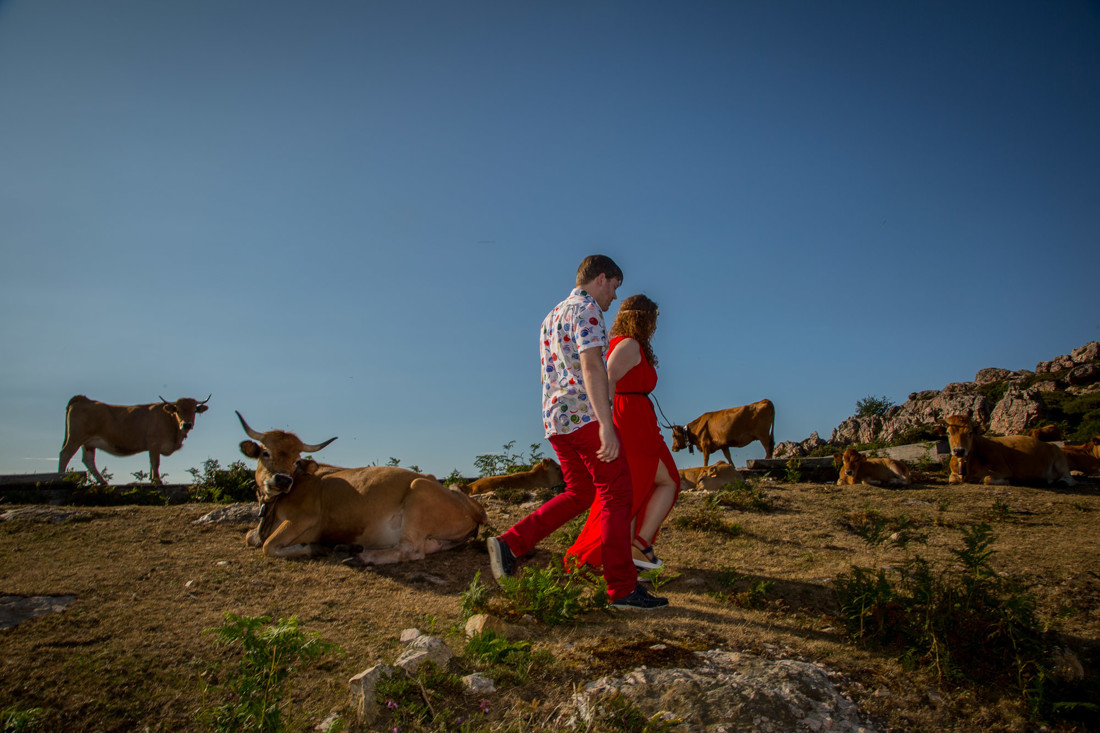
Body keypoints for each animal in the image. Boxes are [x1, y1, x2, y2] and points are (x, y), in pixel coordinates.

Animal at [59, 391, 210, 482]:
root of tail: (84, 399)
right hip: (75, 438)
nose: (187, 424)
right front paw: (157, 481)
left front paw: (152, 480)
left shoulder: (152, 447)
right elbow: (155, 463)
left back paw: (103, 483)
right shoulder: (154, 444)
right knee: (65, 454)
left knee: (88, 461)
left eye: (194, 410)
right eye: (178, 410)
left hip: (88, 443)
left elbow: (152, 464)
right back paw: (60, 476)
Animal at [236, 413, 486, 561]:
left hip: (419, 492)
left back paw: (360, 555)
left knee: (410, 550)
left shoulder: (304, 519)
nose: (282, 480)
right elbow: (251, 537)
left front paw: (314, 547)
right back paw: (348, 549)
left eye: (297, 460)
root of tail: (472, 511)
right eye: (265, 452)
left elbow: (268, 545)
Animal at [941, 411, 1069, 484]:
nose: (959, 450)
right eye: (948, 433)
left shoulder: (1003, 468)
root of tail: (1050, 444)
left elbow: (986, 479)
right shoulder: (954, 474)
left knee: (1069, 477)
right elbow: (952, 479)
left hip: (1060, 461)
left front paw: (1009, 480)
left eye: (970, 432)